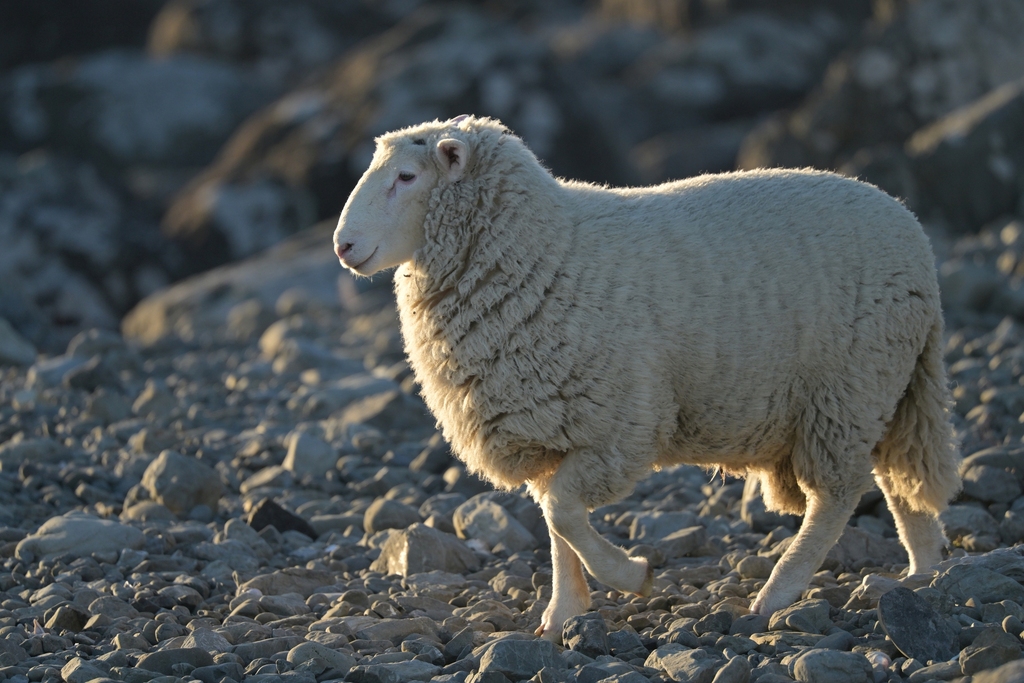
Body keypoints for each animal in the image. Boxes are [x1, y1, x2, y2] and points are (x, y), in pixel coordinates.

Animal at [333, 115, 962, 641]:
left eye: (407, 176)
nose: (342, 247)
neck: (542, 251)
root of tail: (911, 229)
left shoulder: (619, 426)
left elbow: (562, 513)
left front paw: (631, 576)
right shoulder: (550, 428)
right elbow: (556, 525)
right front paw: (563, 612)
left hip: (847, 388)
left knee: (836, 496)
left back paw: (778, 592)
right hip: (881, 387)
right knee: (897, 483)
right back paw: (922, 572)